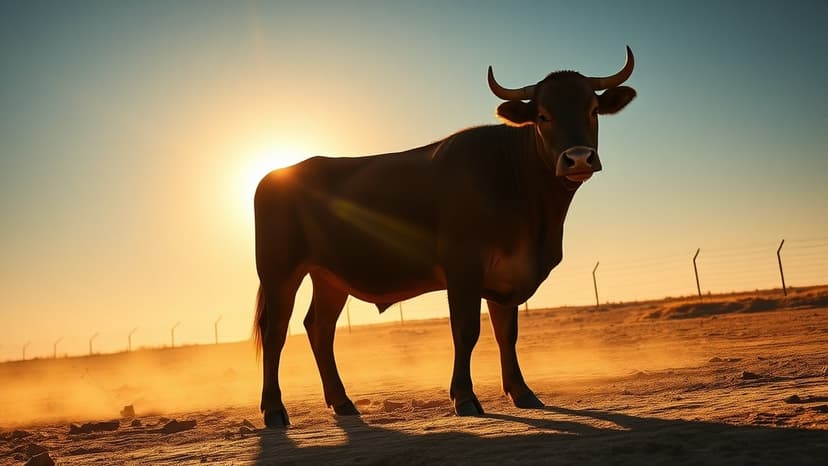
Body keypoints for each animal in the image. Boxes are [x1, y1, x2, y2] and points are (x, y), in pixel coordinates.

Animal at [253, 47, 636, 427]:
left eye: (592, 110)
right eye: (543, 115)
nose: (578, 159)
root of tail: (277, 174)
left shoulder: (508, 274)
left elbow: (506, 334)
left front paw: (523, 393)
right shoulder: (463, 267)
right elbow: (466, 331)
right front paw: (464, 397)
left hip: (330, 278)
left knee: (320, 329)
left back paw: (343, 402)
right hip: (279, 272)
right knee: (276, 333)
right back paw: (274, 410)